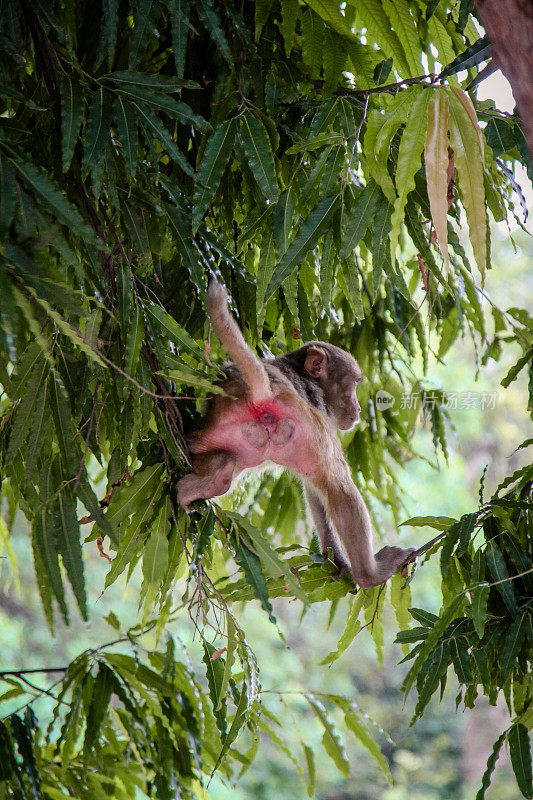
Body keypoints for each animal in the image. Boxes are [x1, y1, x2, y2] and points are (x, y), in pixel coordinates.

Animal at [177, 282, 414, 588]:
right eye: (353, 385)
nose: (359, 407)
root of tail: (264, 388)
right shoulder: (319, 420)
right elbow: (325, 483)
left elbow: (313, 488)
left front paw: (336, 557)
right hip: (305, 421)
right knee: (339, 484)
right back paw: (369, 574)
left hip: (210, 434)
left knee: (224, 463)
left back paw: (203, 484)